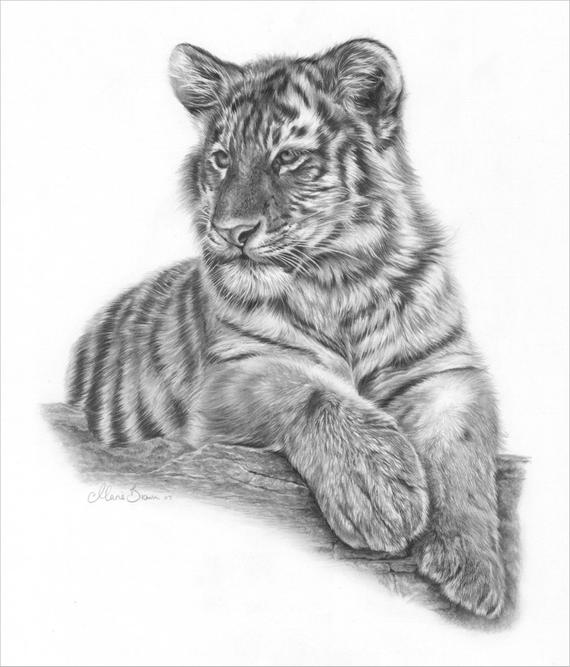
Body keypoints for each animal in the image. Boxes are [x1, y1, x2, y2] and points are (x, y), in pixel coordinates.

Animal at [66, 39, 506, 618]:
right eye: (222, 159)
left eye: (288, 159)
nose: (231, 232)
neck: (340, 282)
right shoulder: (236, 371)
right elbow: (310, 390)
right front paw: (378, 493)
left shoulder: (443, 370)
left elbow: (464, 450)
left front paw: (475, 566)